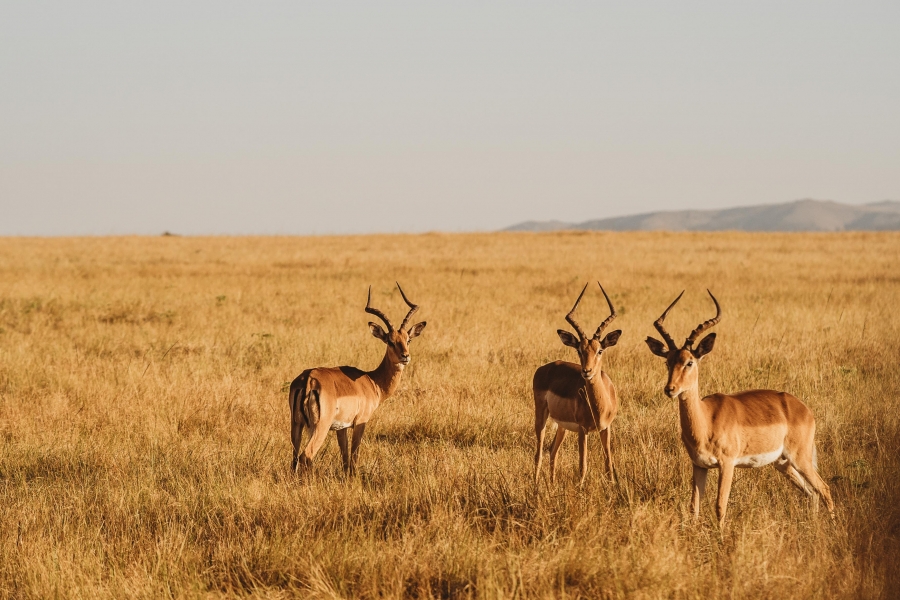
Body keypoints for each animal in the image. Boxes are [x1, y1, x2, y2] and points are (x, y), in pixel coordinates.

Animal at [290, 284, 428, 476]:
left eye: (408, 340)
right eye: (390, 341)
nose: (405, 356)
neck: (372, 381)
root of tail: (308, 380)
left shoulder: (341, 428)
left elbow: (345, 457)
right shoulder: (361, 422)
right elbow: (354, 456)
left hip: (296, 425)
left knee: (294, 459)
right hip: (319, 427)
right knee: (306, 456)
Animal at [536, 284, 620, 486]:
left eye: (600, 350)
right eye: (579, 350)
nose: (586, 371)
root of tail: (546, 367)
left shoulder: (606, 428)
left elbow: (608, 464)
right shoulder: (583, 430)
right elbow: (583, 466)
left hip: (562, 426)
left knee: (553, 451)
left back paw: (552, 485)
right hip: (541, 416)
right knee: (538, 454)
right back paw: (534, 486)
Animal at [644, 292, 832, 528]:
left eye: (690, 362)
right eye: (667, 362)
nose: (670, 389)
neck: (706, 420)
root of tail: (803, 408)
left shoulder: (727, 464)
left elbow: (720, 505)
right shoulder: (699, 465)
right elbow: (694, 507)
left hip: (801, 458)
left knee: (824, 489)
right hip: (783, 463)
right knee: (812, 492)